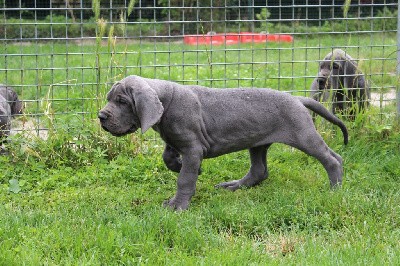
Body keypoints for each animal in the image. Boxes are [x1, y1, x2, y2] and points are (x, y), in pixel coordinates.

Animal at [97, 75, 346, 210]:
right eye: (109, 99)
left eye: (122, 101)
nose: (101, 116)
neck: (167, 101)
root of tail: (297, 99)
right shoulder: (175, 140)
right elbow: (167, 157)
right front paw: (181, 166)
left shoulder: (193, 147)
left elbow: (185, 180)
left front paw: (178, 204)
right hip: (257, 142)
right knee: (260, 170)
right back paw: (234, 186)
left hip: (303, 134)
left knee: (332, 159)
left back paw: (335, 188)